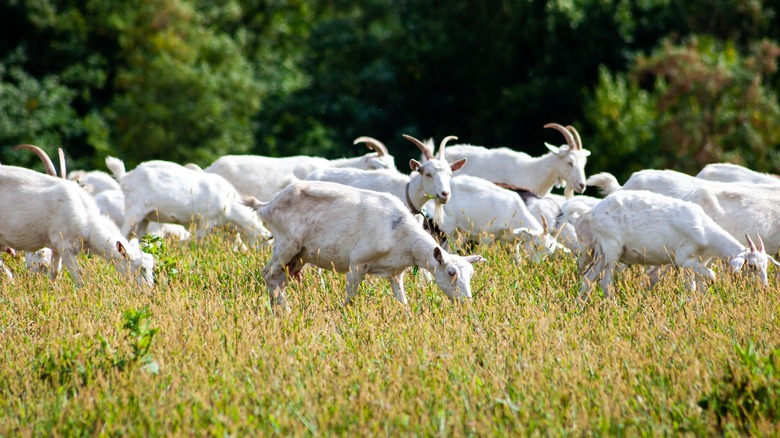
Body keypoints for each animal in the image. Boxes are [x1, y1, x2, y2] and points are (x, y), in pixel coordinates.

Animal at [120, 160, 271, 246]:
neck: (230, 205)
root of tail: (126, 177)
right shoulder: (207, 220)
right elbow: (199, 240)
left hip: (145, 216)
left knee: (139, 235)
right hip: (135, 210)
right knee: (123, 232)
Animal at [245, 180, 485, 310]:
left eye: (471, 274)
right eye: (451, 272)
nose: (467, 302)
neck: (401, 236)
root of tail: (266, 206)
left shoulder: (395, 273)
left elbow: (403, 301)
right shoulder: (357, 265)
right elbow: (349, 298)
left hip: (299, 256)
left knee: (278, 280)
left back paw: (279, 309)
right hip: (287, 244)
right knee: (267, 274)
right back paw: (284, 310)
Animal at [577, 190, 778, 301]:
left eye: (766, 265)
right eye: (751, 265)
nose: (764, 287)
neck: (705, 232)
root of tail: (591, 213)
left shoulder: (698, 262)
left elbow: (695, 287)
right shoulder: (683, 258)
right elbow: (710, 276)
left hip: (602, 253)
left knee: (588, 278)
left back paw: (579, 307)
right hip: (612, 249)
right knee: (605, 282)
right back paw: (613, 306)